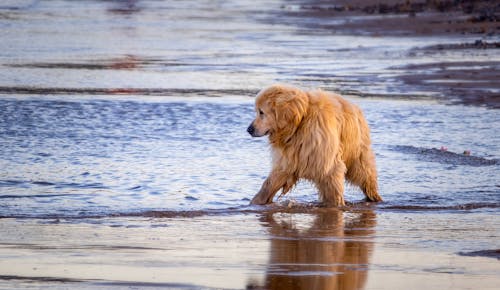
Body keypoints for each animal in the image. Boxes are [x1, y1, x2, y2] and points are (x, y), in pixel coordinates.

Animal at [247, 84, 382, 206]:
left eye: (261, 112)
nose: (249, 129)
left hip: (357, 154)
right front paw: (256, 202)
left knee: (365, 175)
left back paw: (375, 197)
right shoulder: (290, 158)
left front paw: (336, 205)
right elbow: (270, 183)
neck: (299, 124)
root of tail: (356, 107)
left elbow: (333, 186)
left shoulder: (326, 161)